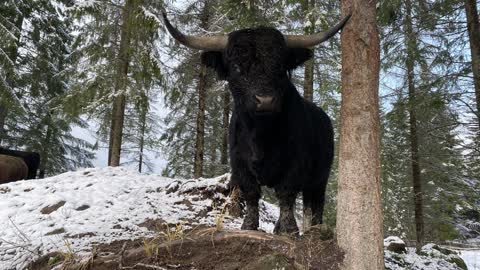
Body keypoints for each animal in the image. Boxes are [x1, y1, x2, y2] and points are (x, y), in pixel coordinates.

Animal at [163, 13, 350, 234]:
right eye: (236, 67)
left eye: (281, 66)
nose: (265, 100)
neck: (260, 135)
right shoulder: (239, 164)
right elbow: (251, 194)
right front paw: (249, 225)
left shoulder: (296, 164)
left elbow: (286, 194)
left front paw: (290, 229)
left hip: (320, 177)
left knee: (315, 203)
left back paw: (316, 228)